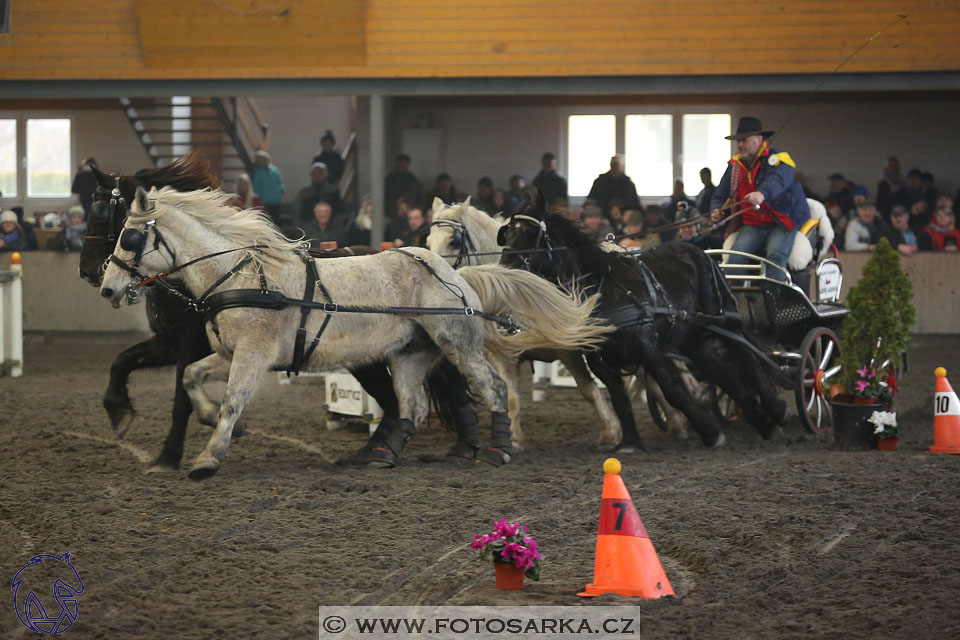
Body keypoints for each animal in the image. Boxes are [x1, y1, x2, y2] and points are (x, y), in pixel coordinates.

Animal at [78, 154, 484, 472]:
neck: (231, 273)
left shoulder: (213, 347)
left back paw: (465, 446)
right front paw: (122, 413)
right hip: (371, 356)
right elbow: (136, 365)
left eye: (103, 213)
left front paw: (175, 455)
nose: (96, 278)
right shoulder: (185, 345)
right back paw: (378, 451)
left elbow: (193, 398)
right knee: (394, 400)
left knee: (446, 383)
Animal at [97, 188, 608, 478]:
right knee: (412, 405)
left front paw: (209, 455)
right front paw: (211, 423)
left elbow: (233, 400)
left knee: (493, 387)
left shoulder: (254, 355)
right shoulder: (225, 353)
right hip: (410, 354)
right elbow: (191, 379)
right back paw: (383, 455)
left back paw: (499, 449)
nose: (107, 288)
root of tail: (455, 273)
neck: (242, 275)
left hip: (456, 343)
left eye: (130, 237)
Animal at [496, 195, 788, 450]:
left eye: (530, 234)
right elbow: (619, 399)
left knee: (745, 355)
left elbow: (672, 391)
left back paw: (777, 410)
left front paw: (710, 432)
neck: (601, 289)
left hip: (724, 319)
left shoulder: (648, 350)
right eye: (507, 234)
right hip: (694, 338)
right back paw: (761, 421)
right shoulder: (600, 362)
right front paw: (629, 443)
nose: (504, 272)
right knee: (722, 374)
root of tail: (698, 250)